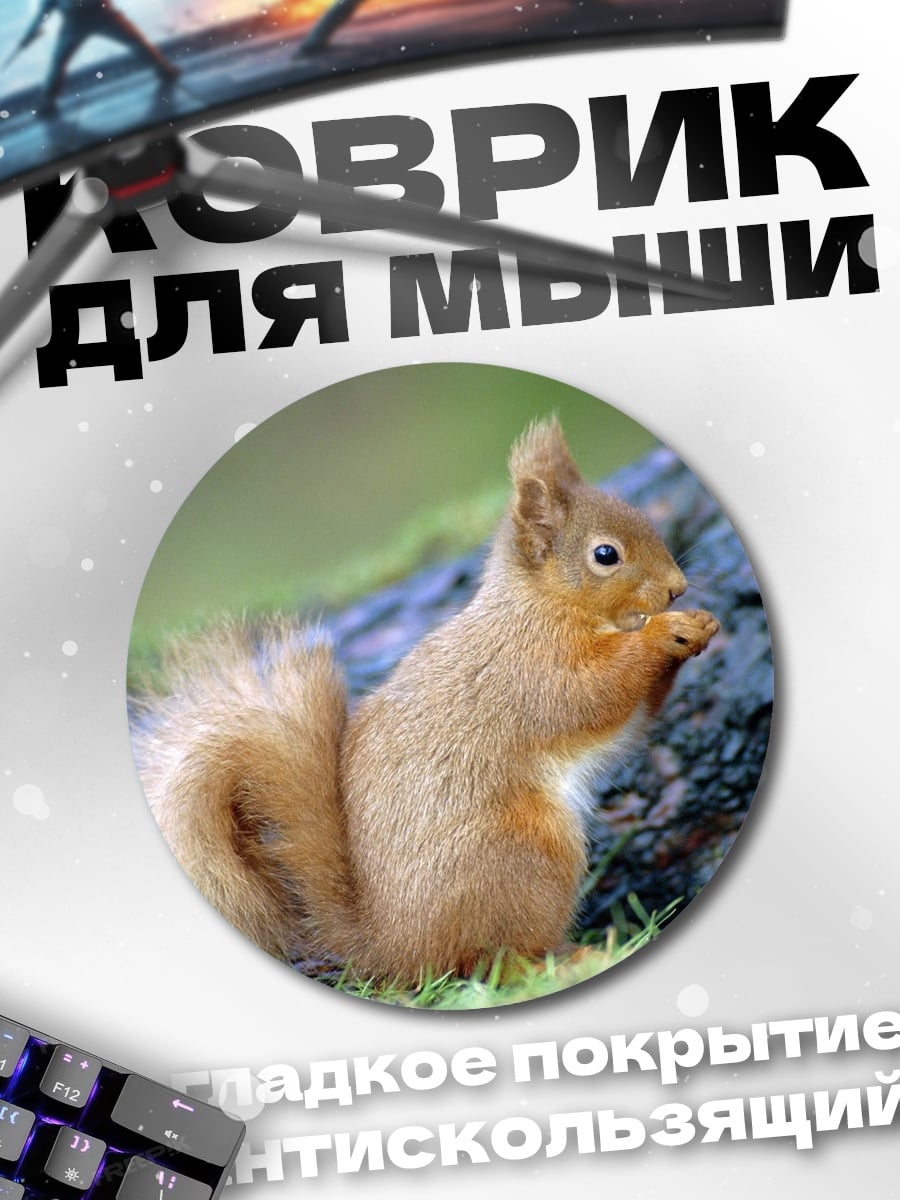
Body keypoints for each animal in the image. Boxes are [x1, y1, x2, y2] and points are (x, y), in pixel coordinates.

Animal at [132, 418, 719, 982]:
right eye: (605, 555)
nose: (677, 588)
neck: (543, 605)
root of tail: (394, 945)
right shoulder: (532, 670)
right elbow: (594, 693)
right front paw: (663, 633)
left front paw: (700, 626)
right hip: (525, 851)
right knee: (492, 961)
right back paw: (571, 959)